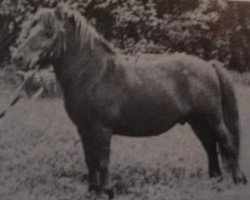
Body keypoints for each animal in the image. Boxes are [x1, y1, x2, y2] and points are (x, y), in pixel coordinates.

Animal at [12, 3, 247, 198]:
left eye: (48, 33)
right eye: (30, 29)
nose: (18, 58)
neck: (94, 75)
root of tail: (208, 65)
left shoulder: (101, 129)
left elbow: (102, 161)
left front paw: (107, 191)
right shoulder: (84, 128)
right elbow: (90, 160)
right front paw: (93, 190)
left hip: (212, 119)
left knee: (226, 143)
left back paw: (237, 180)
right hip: (197, 121)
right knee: (210, 146)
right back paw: (215, 180)